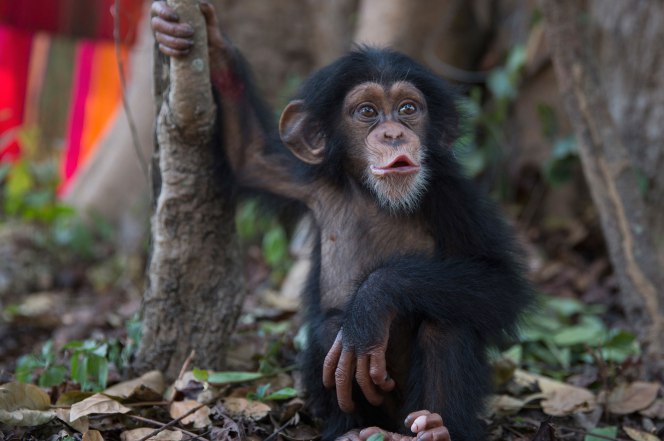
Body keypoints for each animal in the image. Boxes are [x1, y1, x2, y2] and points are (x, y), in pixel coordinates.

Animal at [151, 3, 533, 440]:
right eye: (366, 112)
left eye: (408, 109)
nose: (392, 133)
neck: (372, 194)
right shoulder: (308, 180)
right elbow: (248, 155)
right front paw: (206, 39)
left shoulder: (453, 196)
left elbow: (500, 280)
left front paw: (373, 301)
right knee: (330, 328)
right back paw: (351, 428)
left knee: (446, 323)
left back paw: (438, 428)